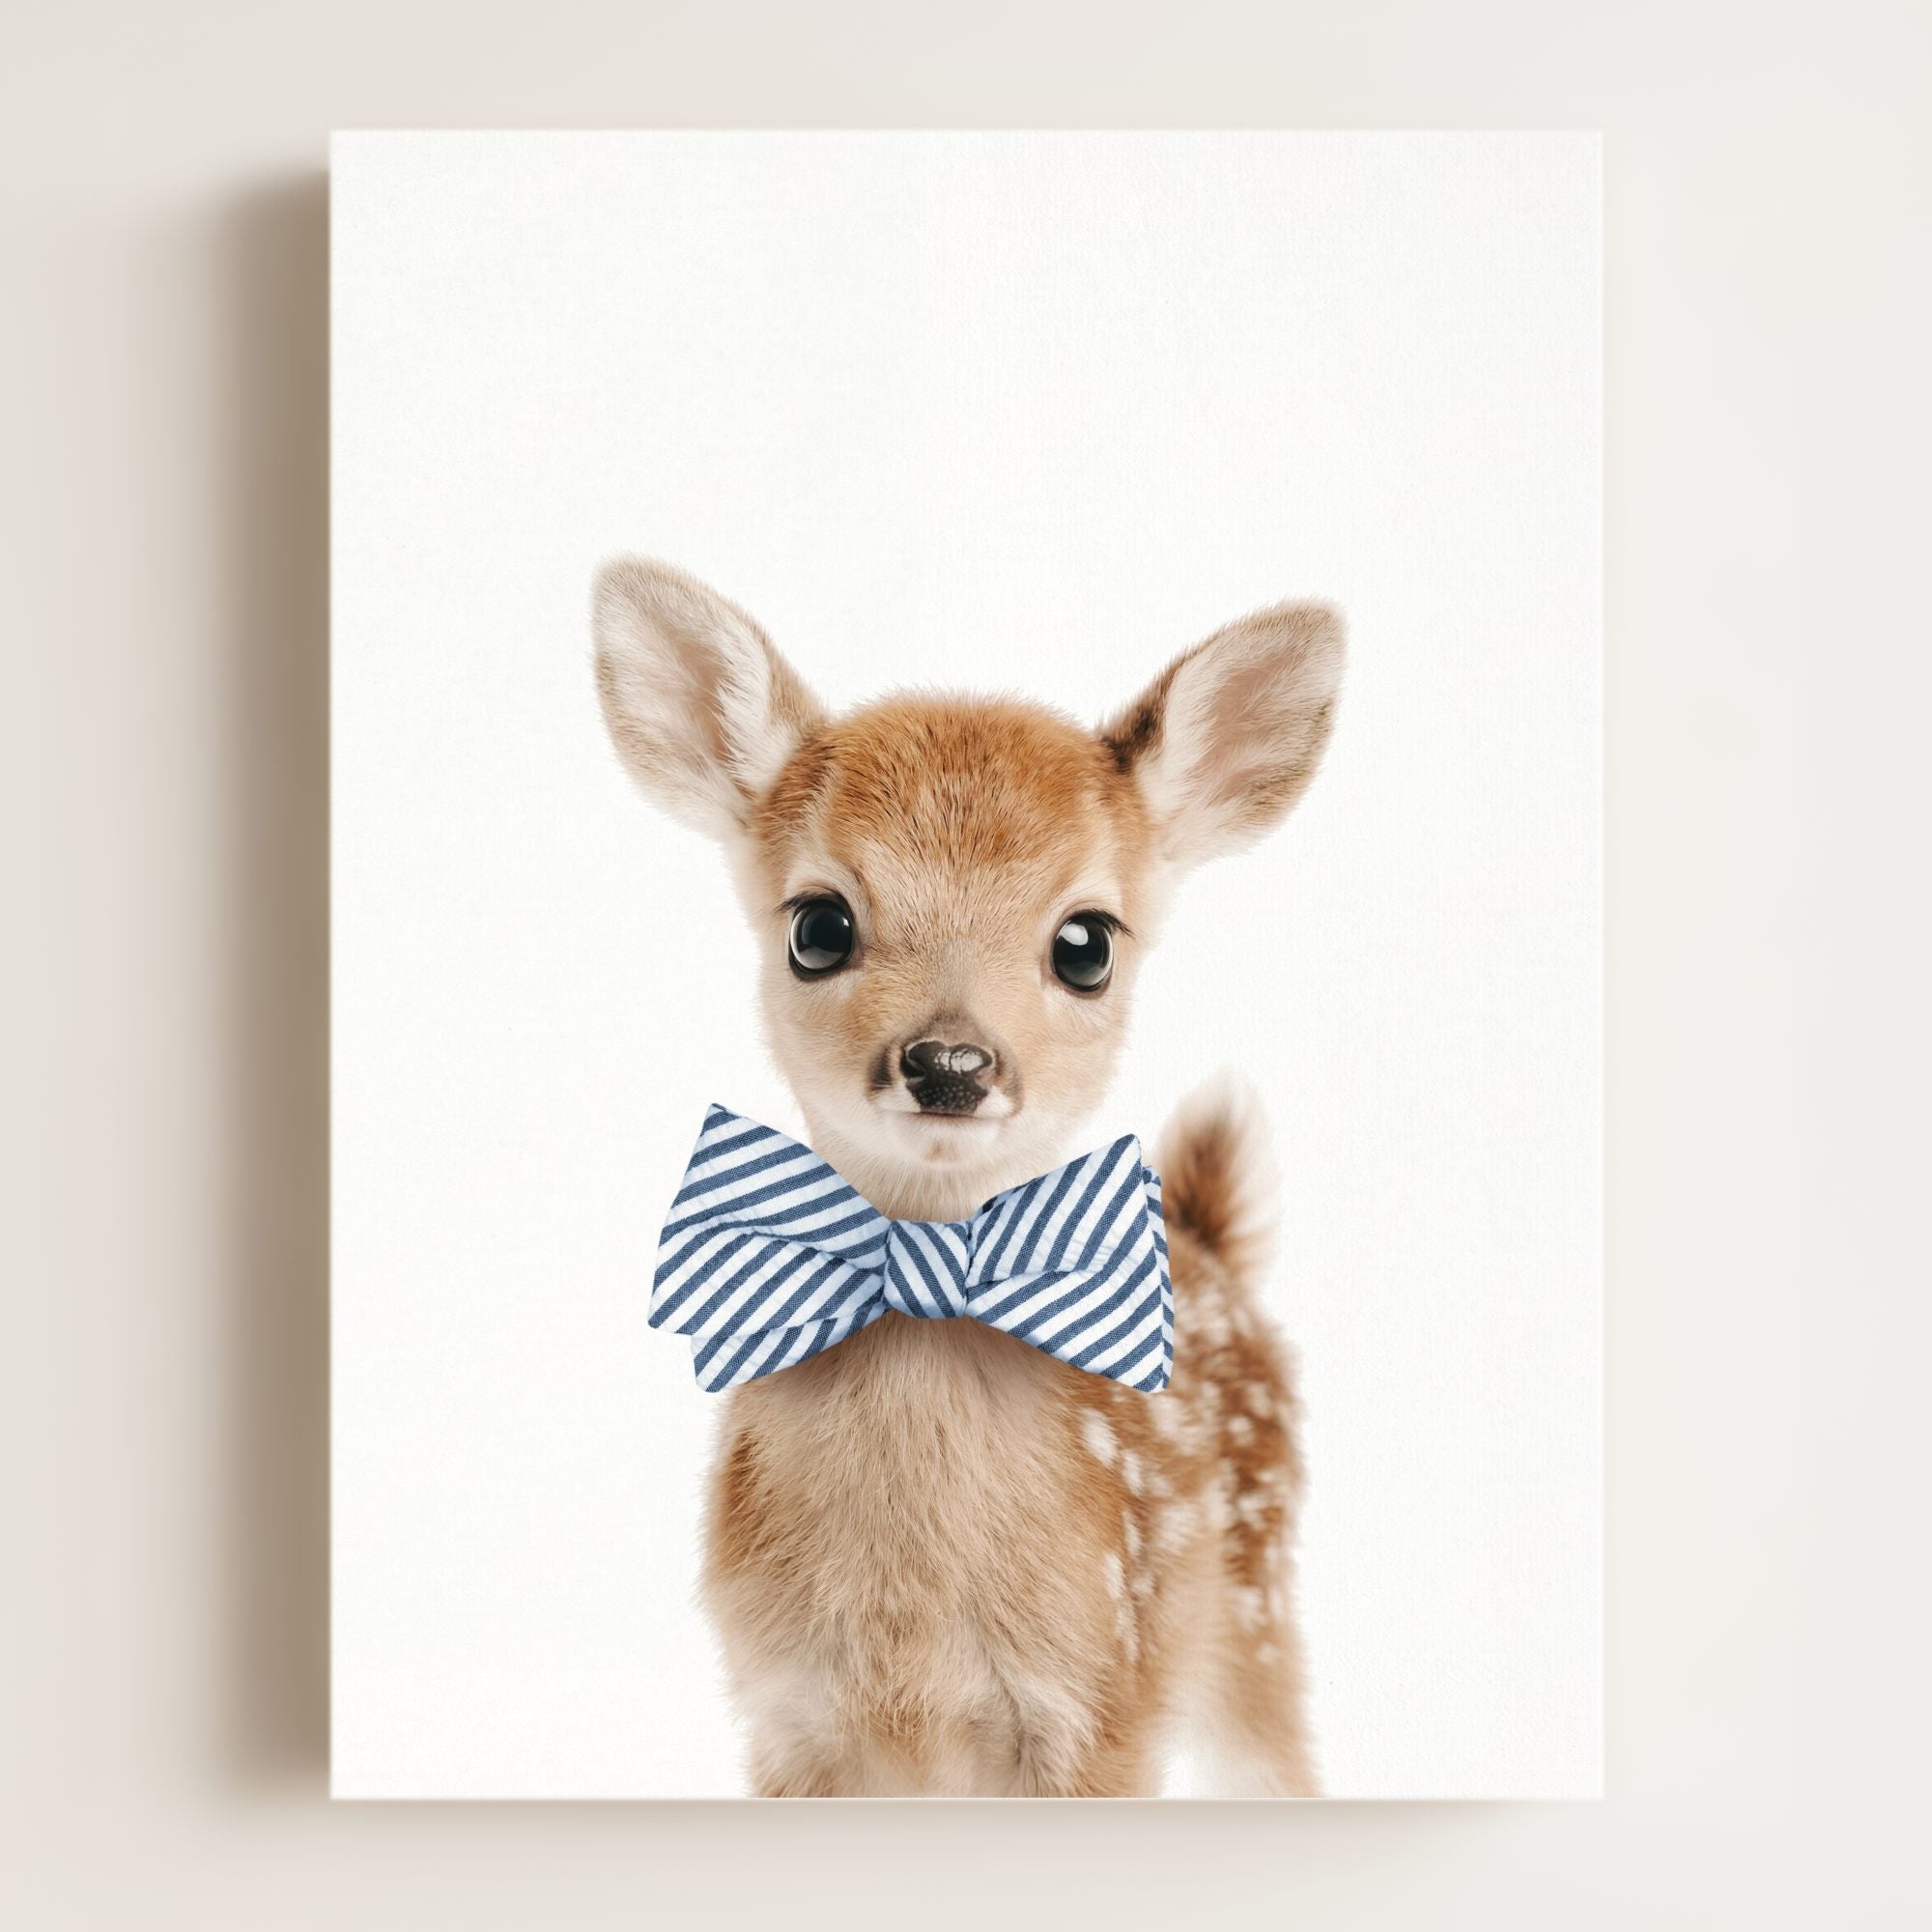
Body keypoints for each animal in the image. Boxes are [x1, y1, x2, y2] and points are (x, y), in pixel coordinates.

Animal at [593, 558, 1344, 1796]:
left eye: (1085, 942)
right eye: (817, 924)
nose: (949, 1062)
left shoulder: (1102, 1704)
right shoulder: (784, 1715)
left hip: (1257, 1615)